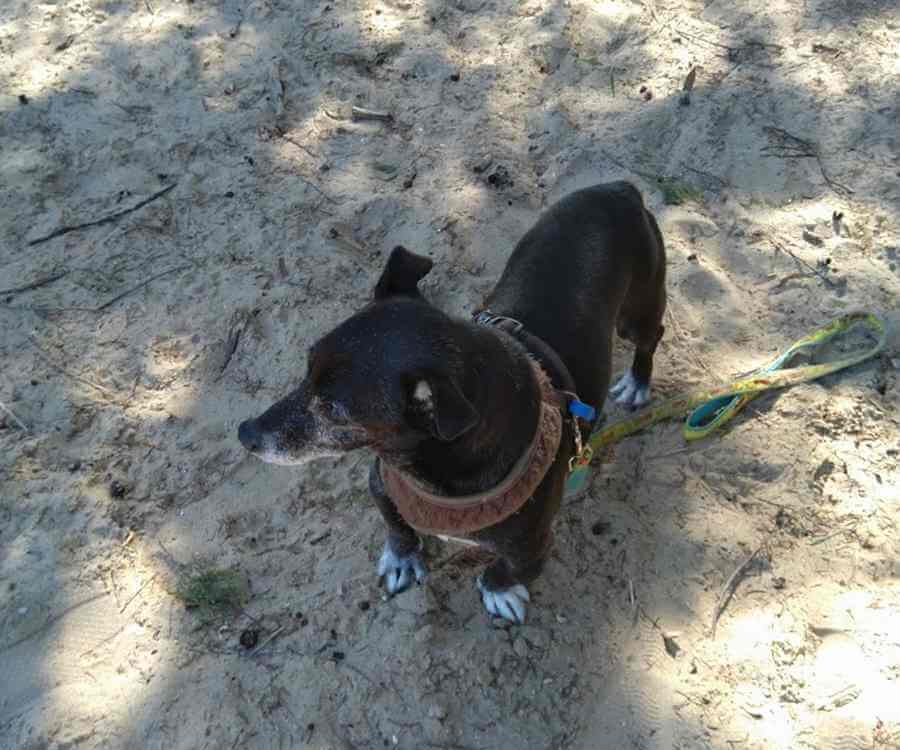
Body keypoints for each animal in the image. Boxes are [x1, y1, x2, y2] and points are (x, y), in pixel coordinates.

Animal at [239, 184, 668, 628]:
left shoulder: (533, 547)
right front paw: (402, 557)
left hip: (637, 313)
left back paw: (637, 382)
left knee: (651, 336)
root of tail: (620, 189)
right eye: (306, 368)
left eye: (333, 410)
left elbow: (504, 569)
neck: (430, 472)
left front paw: (498, 590)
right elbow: (397, 526)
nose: (245, 434)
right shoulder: (381, 485)